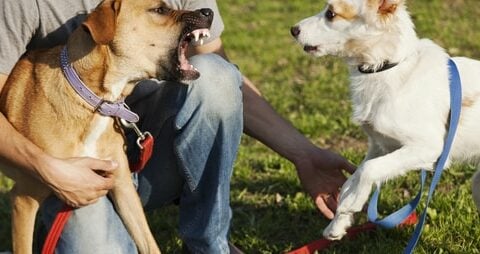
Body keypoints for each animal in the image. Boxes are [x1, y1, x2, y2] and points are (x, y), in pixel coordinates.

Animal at [0, 0, 213, 252]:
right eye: (160, 10)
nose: (208, 11)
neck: (95, 100)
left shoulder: (123, 187)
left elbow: (149, 243)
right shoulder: (24, 199)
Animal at [290, 0, 480, 241]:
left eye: (331, 14)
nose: (293, 29)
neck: (385, 68)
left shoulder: (429, 147)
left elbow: (368, 170)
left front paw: (354, 202)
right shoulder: (381, 145)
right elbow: (354, 176)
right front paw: (339, 222)